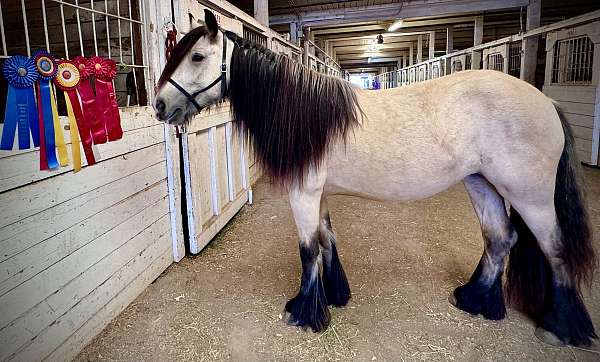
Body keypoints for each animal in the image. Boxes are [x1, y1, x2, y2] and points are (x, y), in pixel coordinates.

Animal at [154, 9, 596, 348]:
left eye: (197, 56)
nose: (159, 106)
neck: (305, 114)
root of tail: (547, 101)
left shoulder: (303, 194)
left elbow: (308, 250)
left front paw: (304, 312)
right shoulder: (319, 194)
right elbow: (327, 241)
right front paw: (335, 296)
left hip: (530, 195)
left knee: (554, 248)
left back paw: (559, 328)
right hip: (480, 182)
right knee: (500, 238)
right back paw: (474, 300)